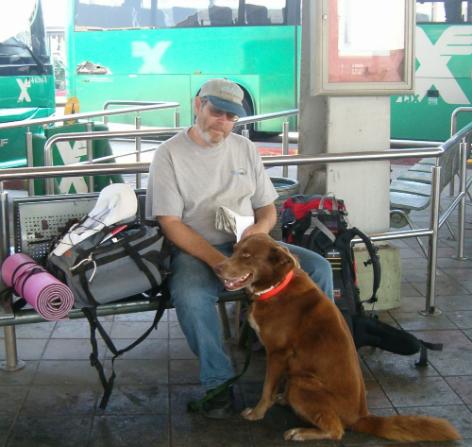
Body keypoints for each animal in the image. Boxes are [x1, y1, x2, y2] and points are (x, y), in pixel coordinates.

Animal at [215, 234, 460, 444]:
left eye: (247, 256)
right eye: (234, 250)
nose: (217, 268)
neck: (277, 287)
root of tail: (361, 417)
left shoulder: (277, 353)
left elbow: (267, 388)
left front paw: (257, 413)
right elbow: (275, 386)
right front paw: (278, 398)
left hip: (302, 383)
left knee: (336, 430)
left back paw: (301, 432)